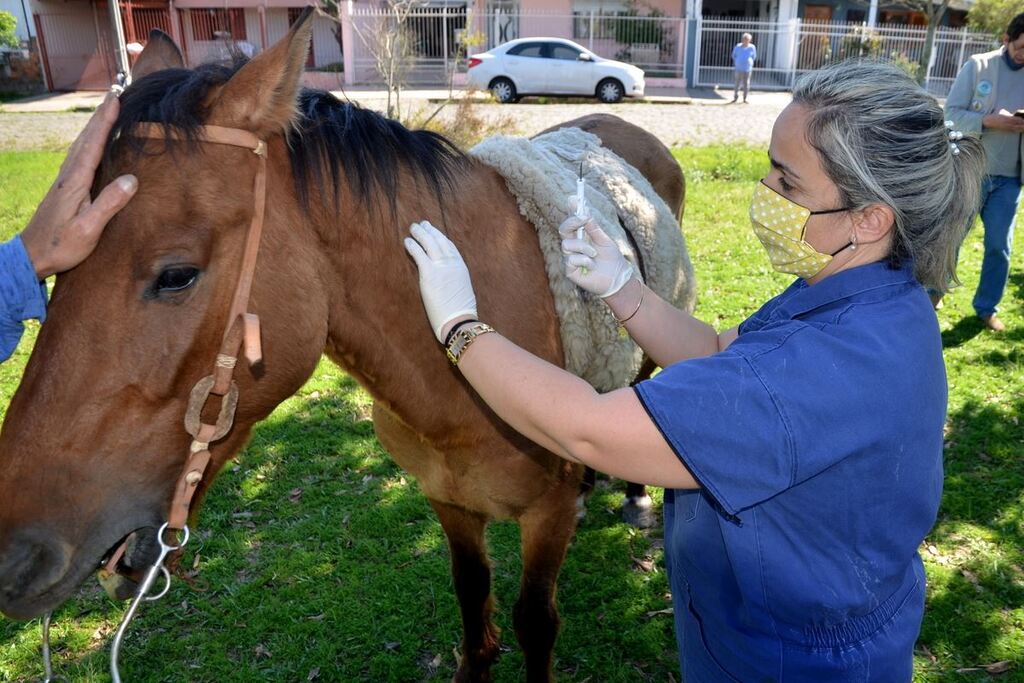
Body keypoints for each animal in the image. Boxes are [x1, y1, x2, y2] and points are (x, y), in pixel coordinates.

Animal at [0, 12, 688, 683]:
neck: (465, 381)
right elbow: (473, 601)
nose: (14, 554)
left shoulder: (545, 518)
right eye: (61, 264)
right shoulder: (449, 502)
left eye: (176, 275)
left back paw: (633, 495)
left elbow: (536, 623)